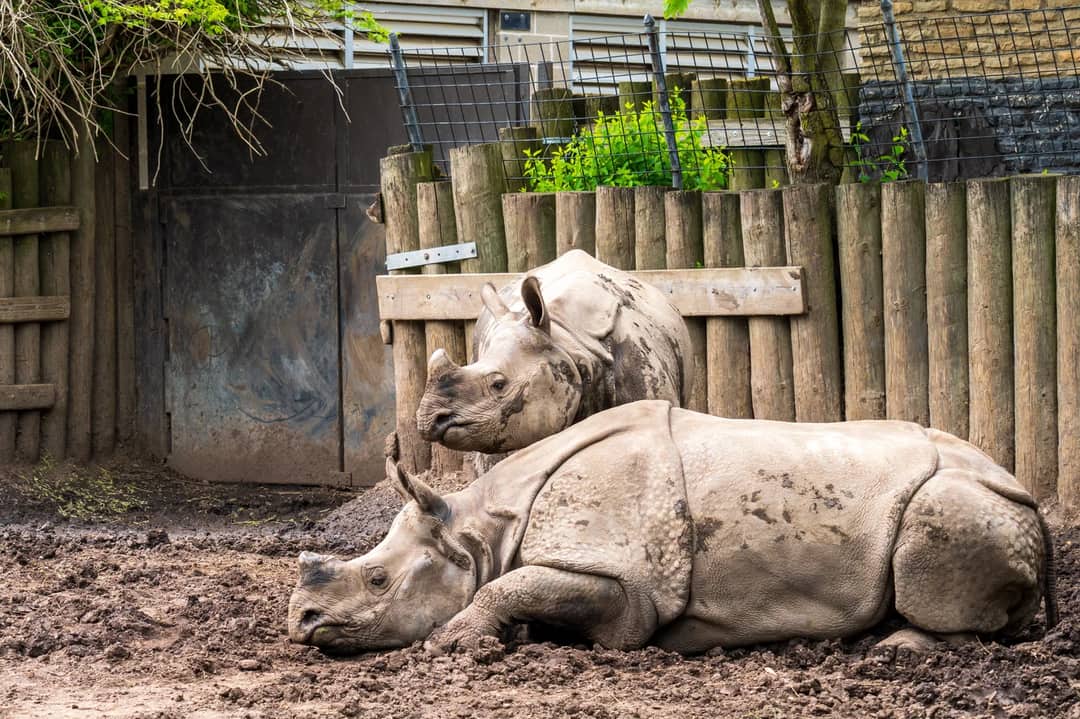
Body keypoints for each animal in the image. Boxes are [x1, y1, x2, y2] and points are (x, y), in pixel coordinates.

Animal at [289, 401, 1056, 656]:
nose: (302, 621)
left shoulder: (625, 586)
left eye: (379, 579)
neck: (482, 531)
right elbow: (515, 588)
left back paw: (897, 650)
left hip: (963, 502)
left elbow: (506, 587)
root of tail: (1026, 498)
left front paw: (454, 643)